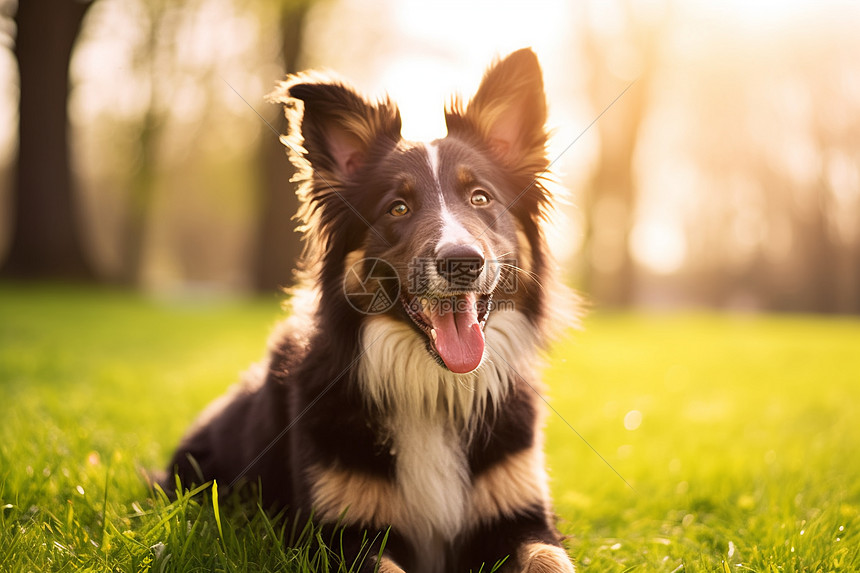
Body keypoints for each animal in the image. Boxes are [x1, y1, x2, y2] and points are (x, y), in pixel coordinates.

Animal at [161, 49, 576, 572]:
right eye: (398, 207)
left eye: (481, 197)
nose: (462, 262)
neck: (433, 388)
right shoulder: (340, 535)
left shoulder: (522, 518)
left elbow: (549, 560)